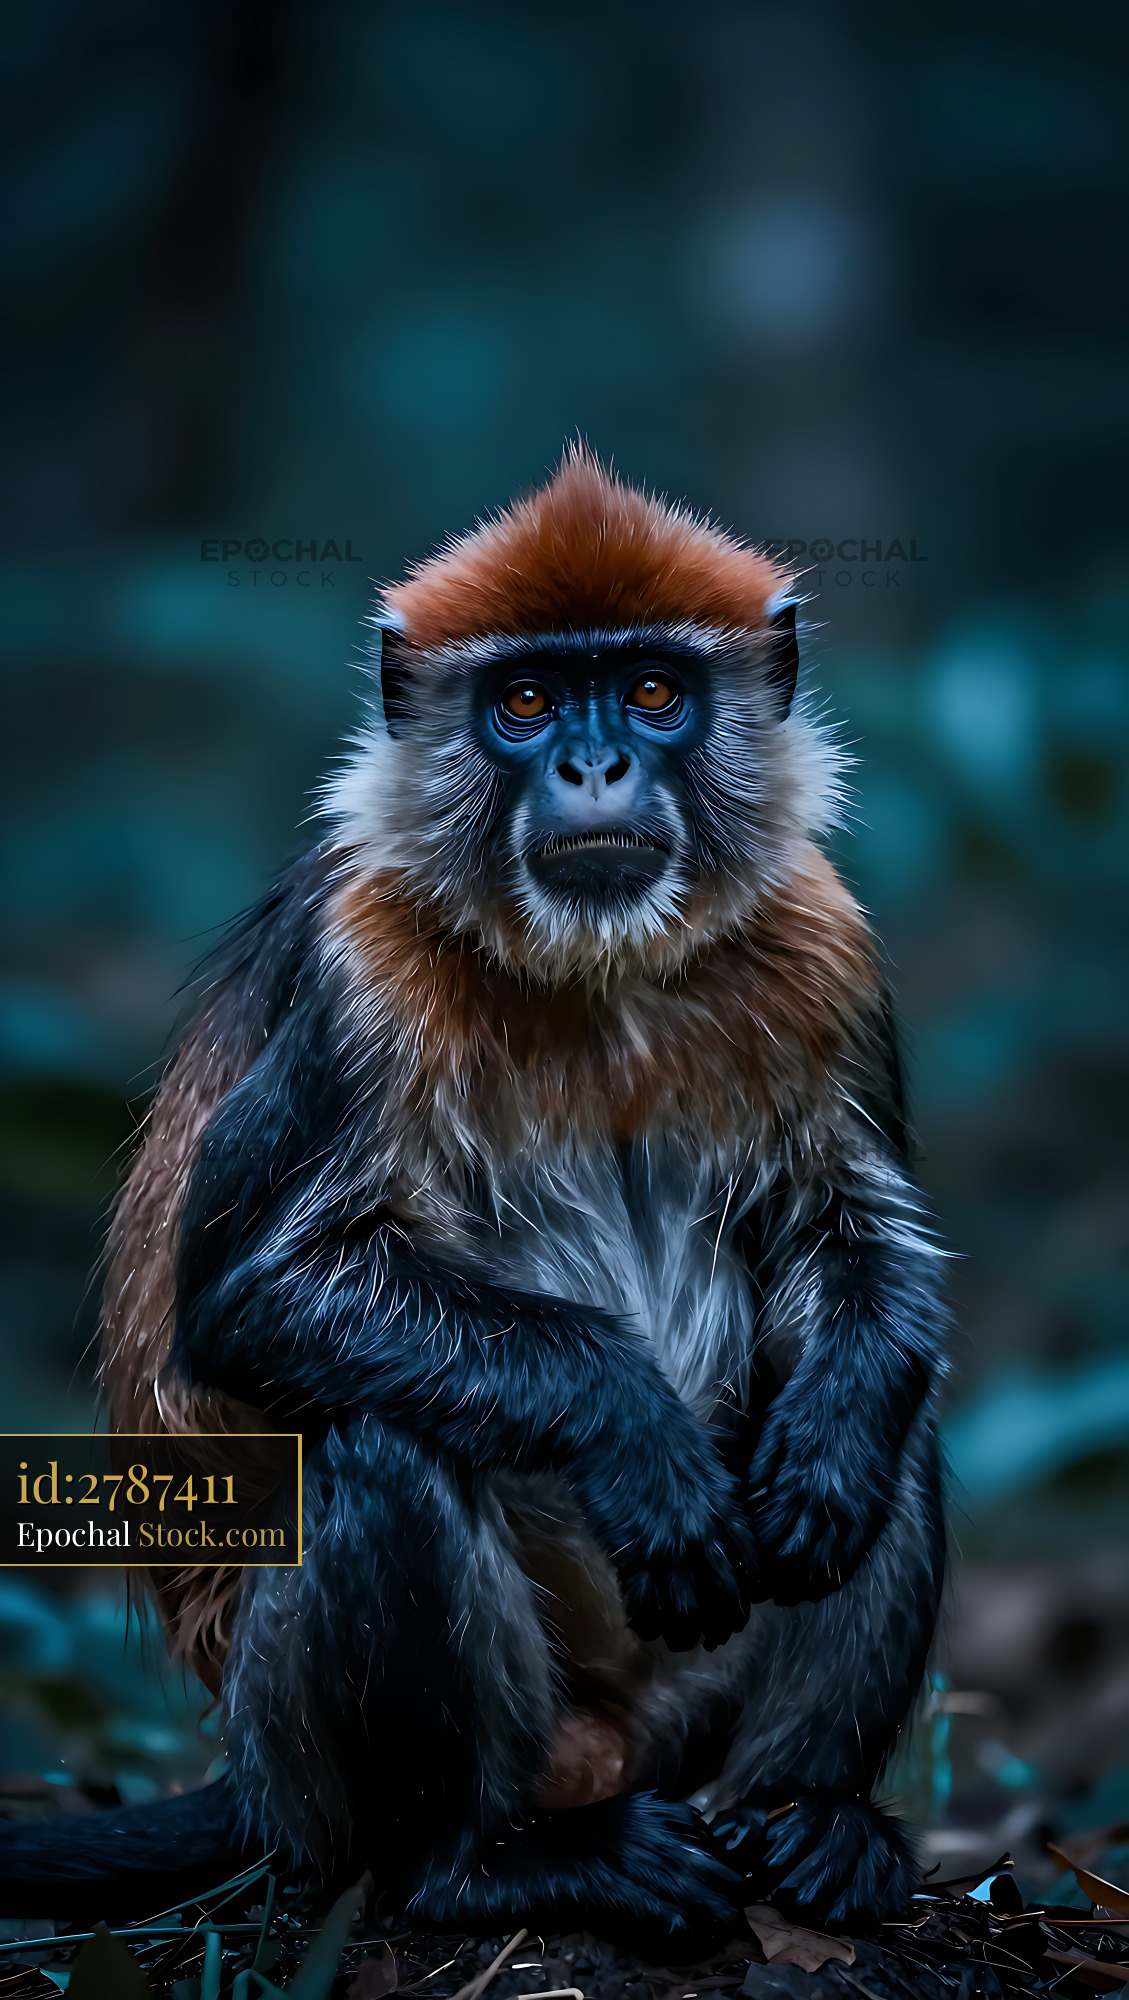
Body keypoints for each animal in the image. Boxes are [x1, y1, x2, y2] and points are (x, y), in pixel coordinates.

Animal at [0, 449, 946, 1953]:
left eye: (654, 691)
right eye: (526, 702)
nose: (592, 764)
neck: (601, 971)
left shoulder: (825, 940)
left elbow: (855, 1242)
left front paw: (828, 1439)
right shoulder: (359, 968)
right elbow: (250, 1297)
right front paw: (635, 1433)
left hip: (688, 1704)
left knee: (886, 1434)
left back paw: (808, 1817)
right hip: (328, 1746)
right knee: (383, 1447)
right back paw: (481, 1866)